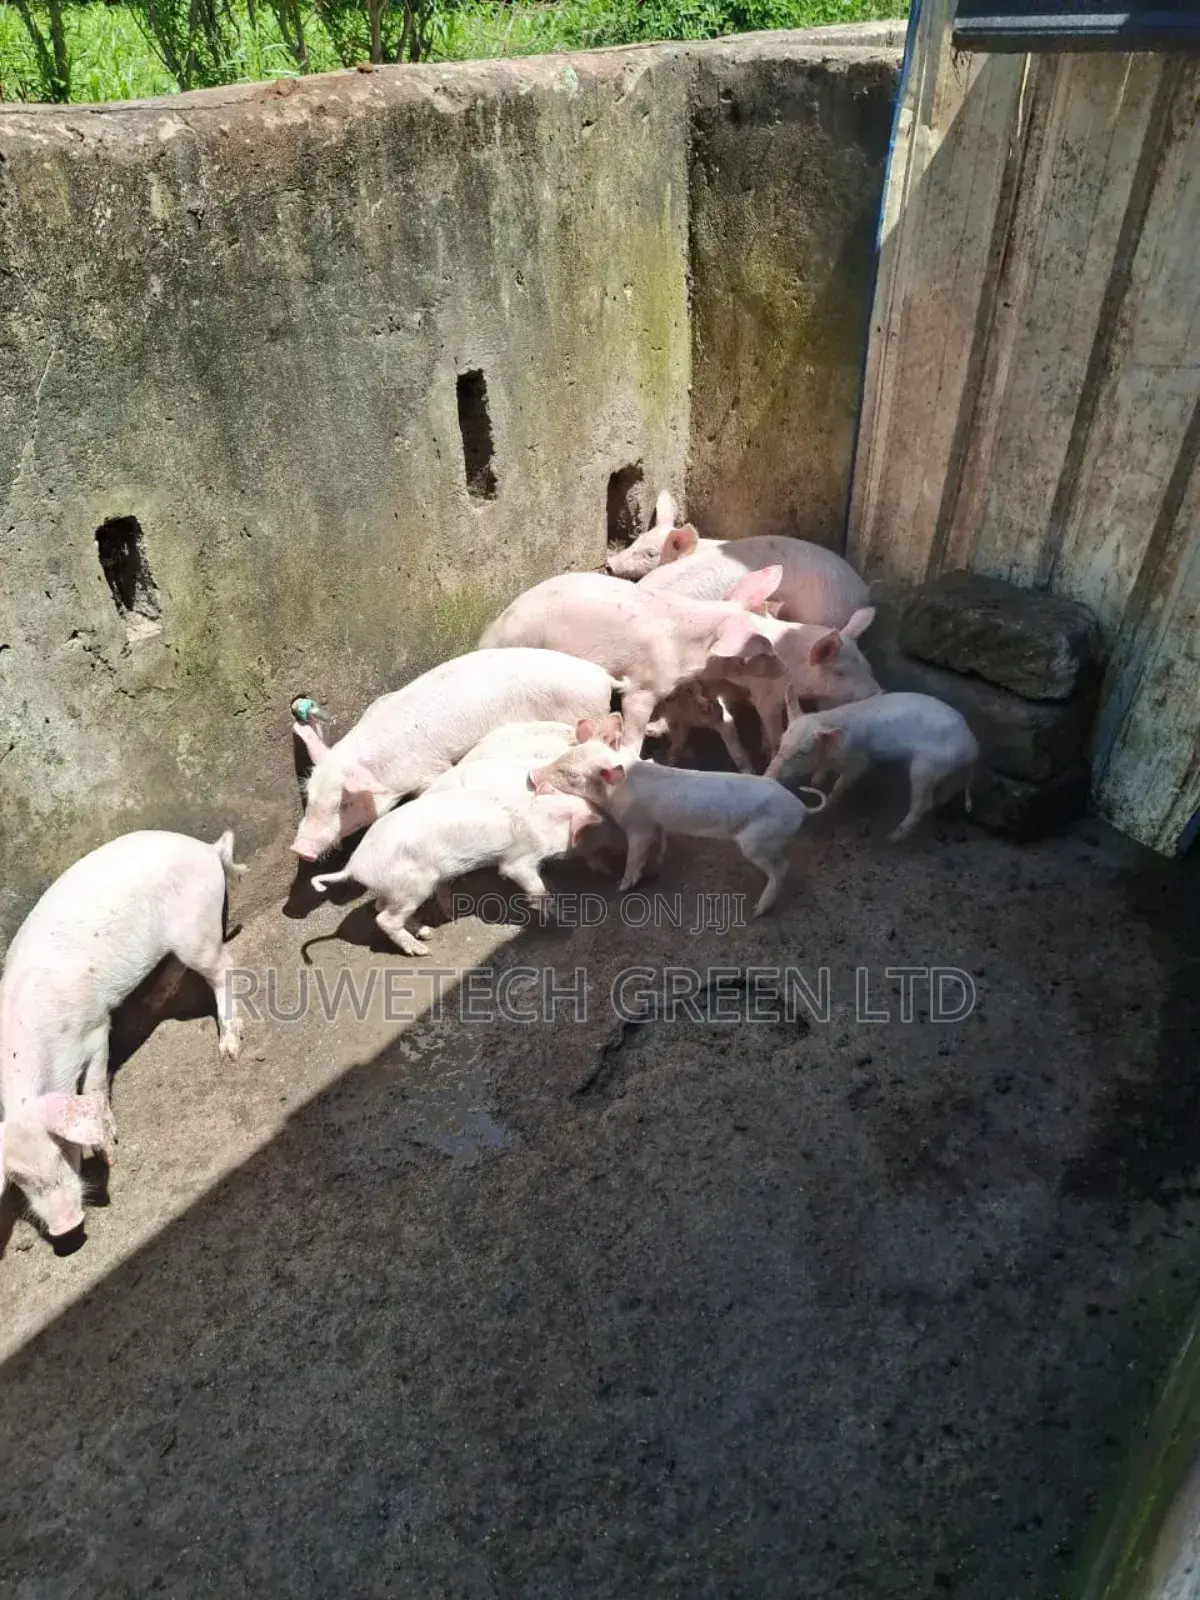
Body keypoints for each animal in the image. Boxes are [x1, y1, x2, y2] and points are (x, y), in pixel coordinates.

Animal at [0, 829, 245, 1239]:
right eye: (18, 1180)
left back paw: (230, 1047)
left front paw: (109, 1152)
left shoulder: (96, 1029)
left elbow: (95, 1085)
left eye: (64, 1149)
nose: (66, 1226)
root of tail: (207, 849)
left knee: (223, 966)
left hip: (197, 930)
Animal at [310, 788, 604, 956]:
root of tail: (354, 865)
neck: (541, 819)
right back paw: (422, 949)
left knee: (380, 907)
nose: (605, 866)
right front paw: (564, 918)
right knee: (384, 918)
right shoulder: (519, 859)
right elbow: (530, 884)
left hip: (396, 888)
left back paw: (426, 930)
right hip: (414, 885)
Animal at [529, 715, 826, 916]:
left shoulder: (637, 825)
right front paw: (659, 861)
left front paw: (621, 886)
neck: (619, 790)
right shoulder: (655, 822)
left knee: (782, 867)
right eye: (566, 754)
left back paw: (757, 910)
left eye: (571, 775)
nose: (534, 774)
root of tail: (800, 807)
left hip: (758, 839)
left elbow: (635, 855)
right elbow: (660, 841)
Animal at [764, 691, 980, 842]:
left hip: (925, 766)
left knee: (923, 803)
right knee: (947, 792)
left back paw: (892, 838)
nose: (769, 775)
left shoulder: (860, 761)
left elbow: (841, 783)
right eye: (782, 742)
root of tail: (973, 747)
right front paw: (816, 780)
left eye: (802, 752)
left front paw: (830, 800)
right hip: (948, 770)